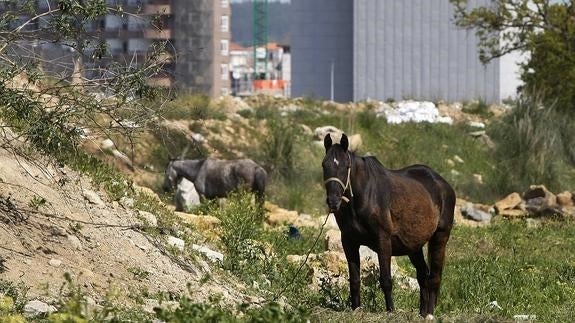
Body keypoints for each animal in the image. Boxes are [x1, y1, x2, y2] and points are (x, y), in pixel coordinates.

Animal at [324, 134, 454, 318]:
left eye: (346, 166)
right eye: (324, 165)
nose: (333, 202)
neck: (365, 194)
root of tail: (443, 184)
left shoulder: (383, 240)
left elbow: (386, 279)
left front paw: (390, 311)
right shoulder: (349, 242)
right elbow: (354, 279)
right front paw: (356, 309)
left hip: (440, 237)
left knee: (435, 276)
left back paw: (429, 314)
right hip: (413, 246)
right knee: (423, 275)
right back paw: (422, 313)